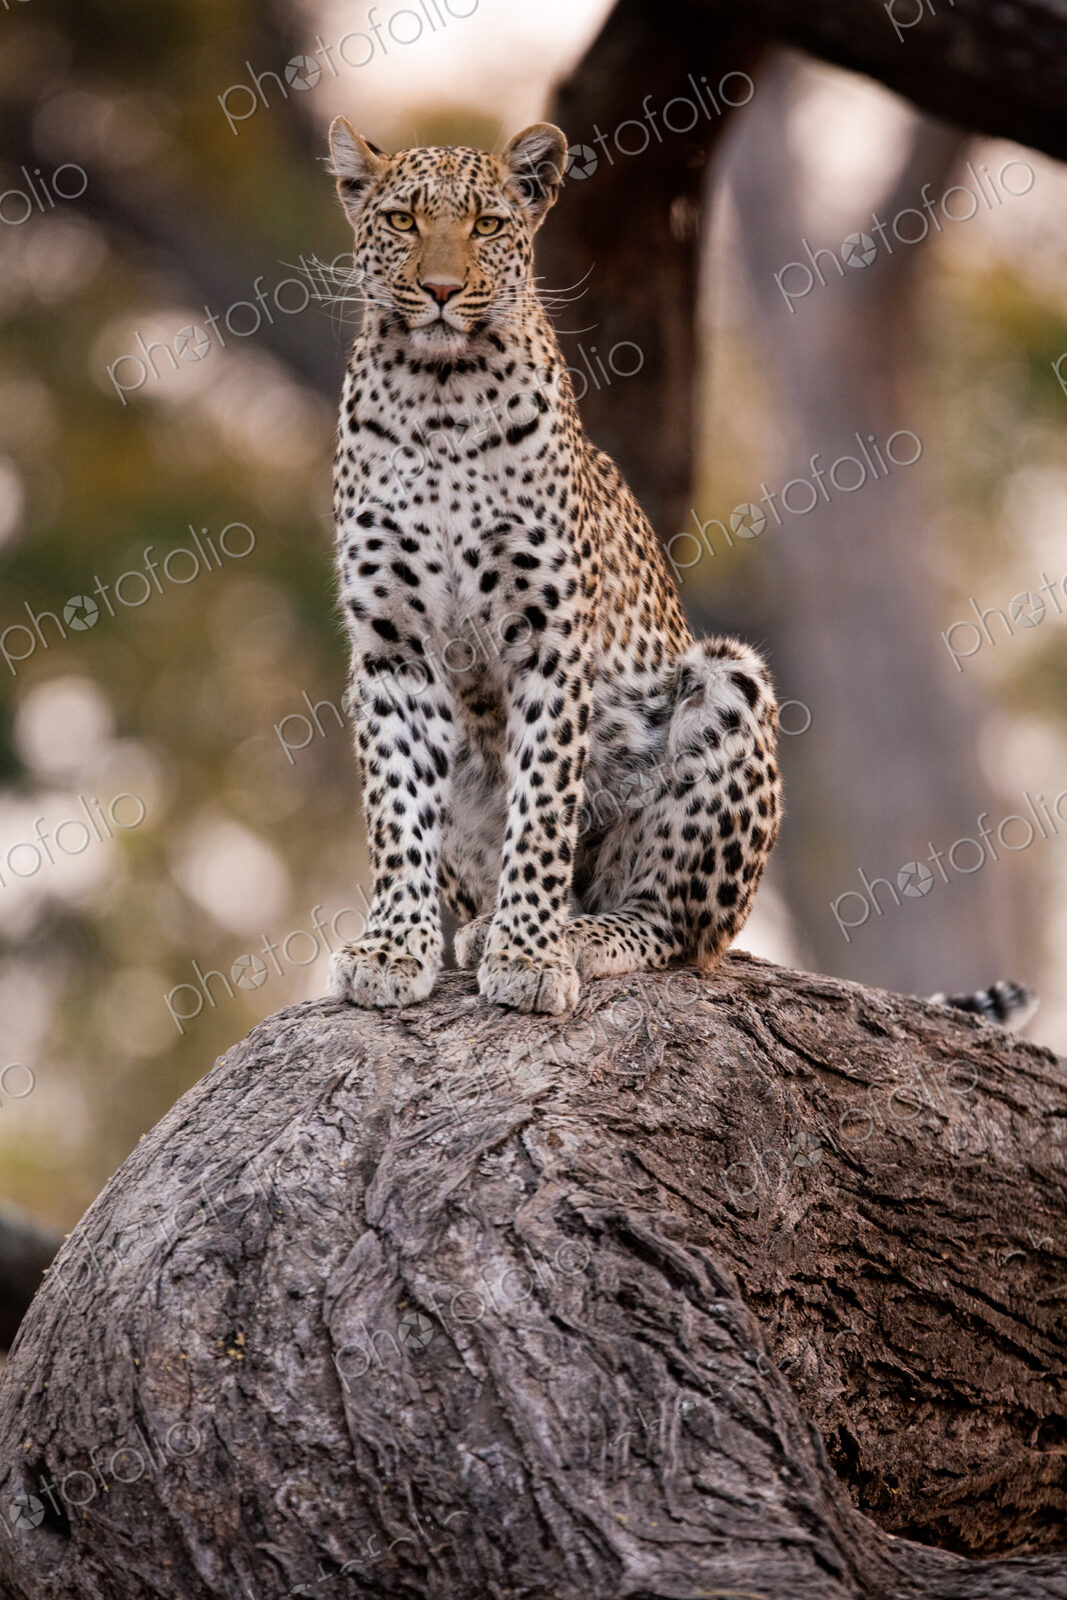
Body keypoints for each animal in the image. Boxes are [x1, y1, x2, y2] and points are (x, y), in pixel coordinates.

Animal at [323, 117, 782, 1016]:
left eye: (487, 226)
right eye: (401, 220)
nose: (438, 289)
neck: (439, 392)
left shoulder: (548, 637)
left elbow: (541, 804)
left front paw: (531, 955)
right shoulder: (393, 646)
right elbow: (395, 806)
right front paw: (394, 948)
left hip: (728, 686)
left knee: (675, 931)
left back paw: (578, 933)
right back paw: (476, 930)